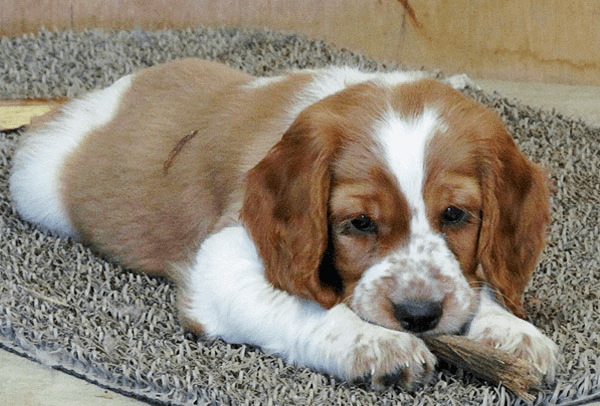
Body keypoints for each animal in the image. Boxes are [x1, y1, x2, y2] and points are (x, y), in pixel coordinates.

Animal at [9, 58, 560, 388]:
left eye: (454, 215)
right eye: (360, 222)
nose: (419, 316)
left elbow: (479, 287)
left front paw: (511, 332)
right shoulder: (222, 261)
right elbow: (306, 309)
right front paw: (378, 345)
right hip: (35, 187)